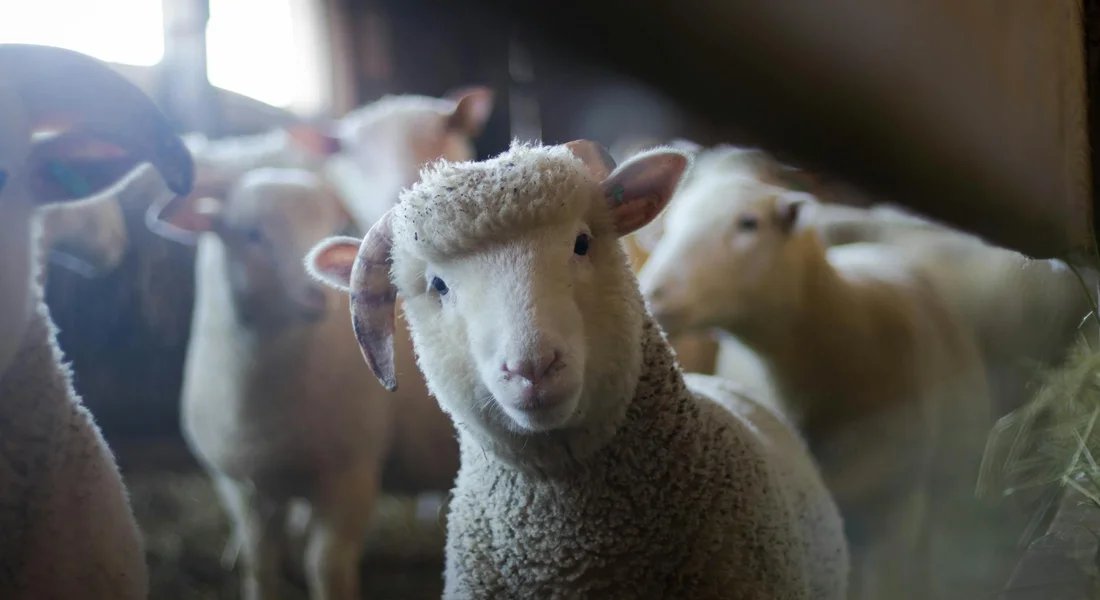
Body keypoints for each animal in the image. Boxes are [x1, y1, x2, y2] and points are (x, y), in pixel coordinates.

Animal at [147, 166, 458, 600]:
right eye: (253, 234)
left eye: (330, 227)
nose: (319, 294)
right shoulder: (242, 486)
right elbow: (260, 564)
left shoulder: (352, 473)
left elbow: (326, 565)